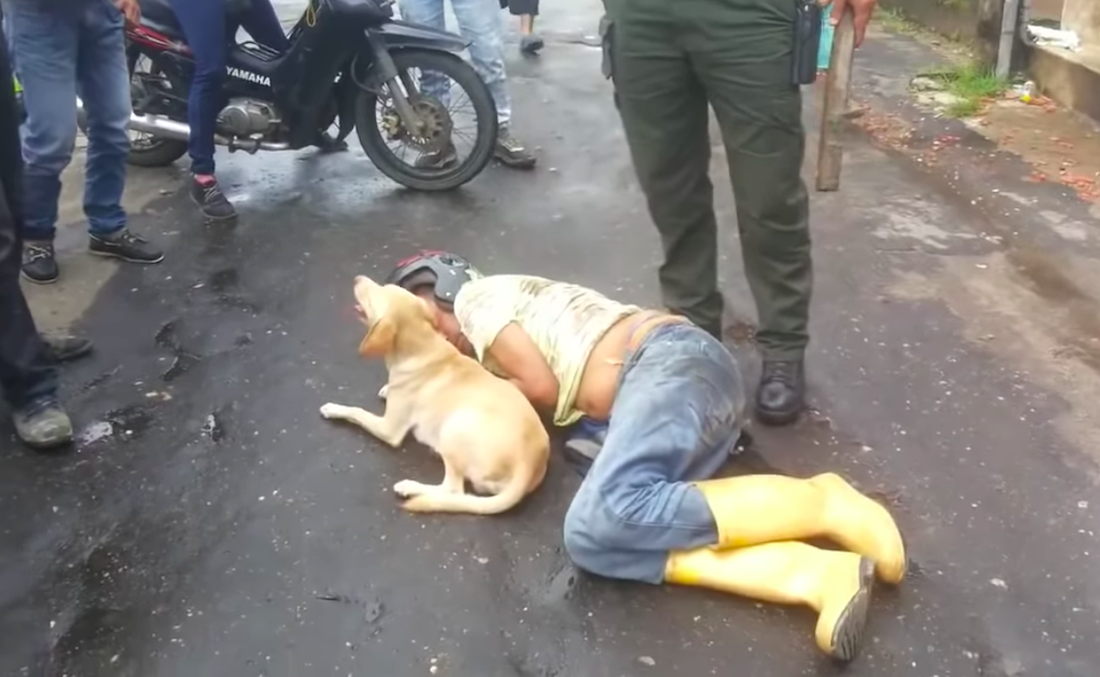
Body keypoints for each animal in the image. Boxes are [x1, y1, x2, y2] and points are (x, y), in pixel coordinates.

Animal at [321, 275, 554, 512]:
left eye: (373, 295)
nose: (357, 278)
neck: (421, 345)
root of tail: (530, 464)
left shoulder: (389, 429)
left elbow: (356, 411)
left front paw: (334, 409)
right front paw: (387, 388)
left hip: (454, 428)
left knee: (453, 489)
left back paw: (410, 486)